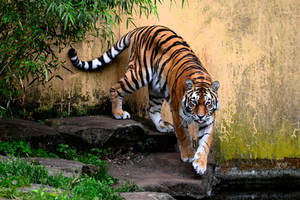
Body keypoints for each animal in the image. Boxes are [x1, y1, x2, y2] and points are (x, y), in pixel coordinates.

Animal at [68, 25, 219, 175]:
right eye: (194, 102)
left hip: (157, 88)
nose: (200, 116)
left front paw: (200, 164)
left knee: (152, 109)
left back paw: (162, 126)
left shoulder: (209, 120)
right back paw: (118, 113)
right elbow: (183, 135)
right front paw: (188, 155)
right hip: (138, 74)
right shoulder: (178, 114)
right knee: (116, 89)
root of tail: (142, 28)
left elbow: (205, 143)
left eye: (208, 103)